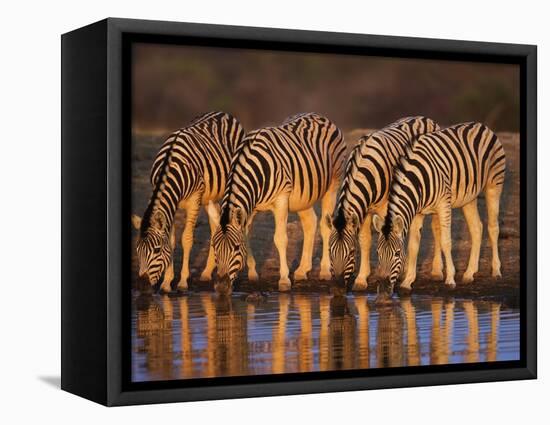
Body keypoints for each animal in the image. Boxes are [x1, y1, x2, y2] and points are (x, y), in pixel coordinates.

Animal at [130, 111, 245, 292]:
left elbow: (186, 239)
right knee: (215, 226)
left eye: (156, 250)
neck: (170, 167)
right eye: (137, 249)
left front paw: (183, 281)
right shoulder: (172, 203)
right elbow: (171, 240)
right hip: (209, 198)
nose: (142, 287)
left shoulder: (194, 199)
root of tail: (222, 113)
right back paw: (206, 273)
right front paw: (167, 282)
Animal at [209, 112, 348, 292]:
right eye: (214, 247)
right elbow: (246, 234)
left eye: (236, 248)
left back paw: (324, 271)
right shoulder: (251, 206)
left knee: (325, 226)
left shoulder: (282, 199)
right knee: (310, 223)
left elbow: (280, 238)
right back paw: (302, 270)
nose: (221, 287)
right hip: (303, 197)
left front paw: (284, 280)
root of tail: (321, 117)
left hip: (332, 185)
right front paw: (253, 273)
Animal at [326, 116, 442, 290]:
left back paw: (436, 271)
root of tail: (425, 118)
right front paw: (361, 279)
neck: (366, 170)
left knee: (437, 229)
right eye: (329, 251)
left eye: (352, 252)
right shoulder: (365, 209)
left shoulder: (386, 207)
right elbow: (365, 240)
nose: (337, 288)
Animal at [376, 121, 508, 296]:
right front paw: (407, 282)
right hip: (469, 197)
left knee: (493, 228)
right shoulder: (417, 212)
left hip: (494, 184)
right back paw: (469, 273)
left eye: (397, 253)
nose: (384, 290)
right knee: (476, 228)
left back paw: (496, 271)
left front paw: (450, 279)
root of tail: (482, 126)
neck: (418, 181)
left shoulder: (444, 203)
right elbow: (413, 246)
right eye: (378, 253)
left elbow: (446, 241)